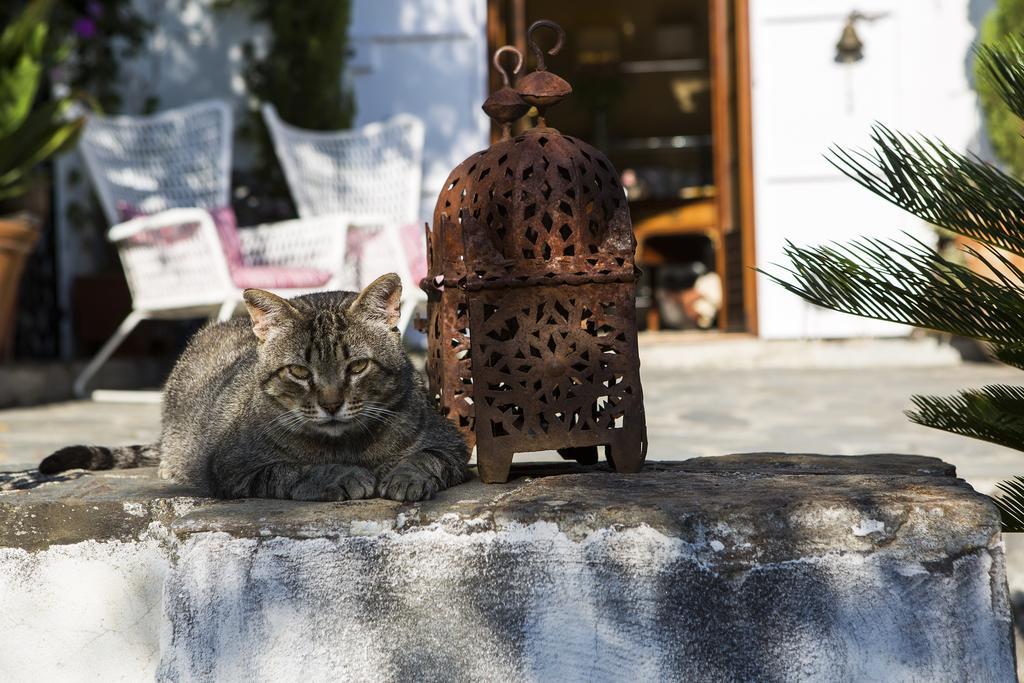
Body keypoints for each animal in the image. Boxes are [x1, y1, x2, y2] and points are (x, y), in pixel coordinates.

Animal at [37, 274, 468, 501]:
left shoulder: (451, 443)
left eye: (358, 366)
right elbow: (295, 470)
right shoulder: (234, 466)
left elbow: (426, 457)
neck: (346, 445)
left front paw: (406, 476)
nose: (331, 404)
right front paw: (337, 476)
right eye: (298, 371)